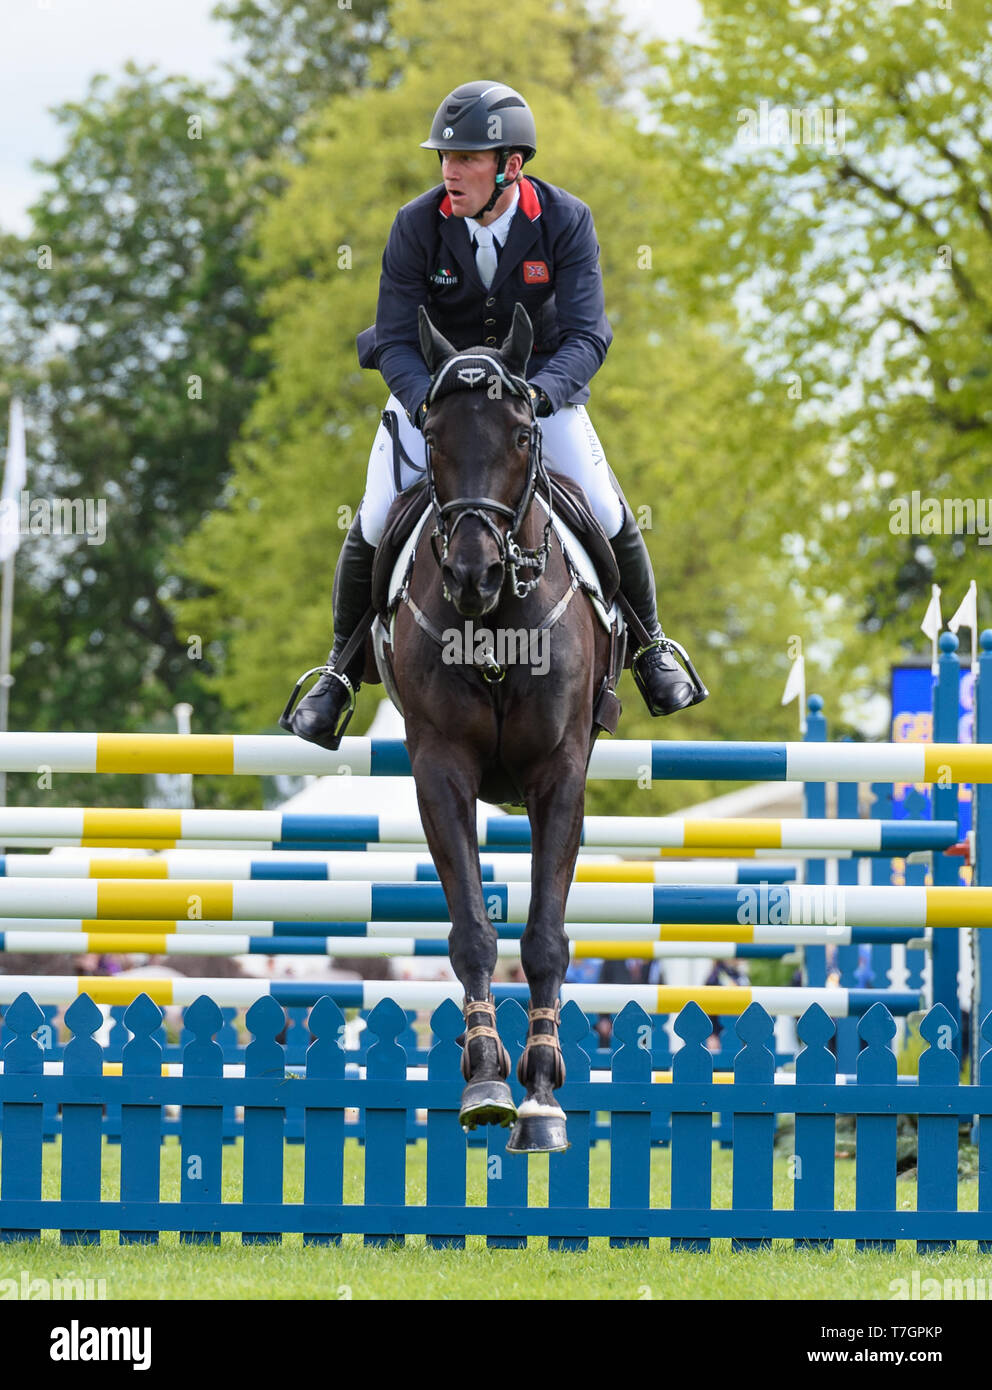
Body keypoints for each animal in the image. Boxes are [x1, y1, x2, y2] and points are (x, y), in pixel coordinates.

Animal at [389, 307, 614, 1150]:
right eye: (431, 435)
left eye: (522, 434)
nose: (473, 574)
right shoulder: (439, 768)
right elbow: (472, 930)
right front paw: (486, 1078)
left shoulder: (560, 771)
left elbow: (545, 934)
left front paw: (542, 1094)